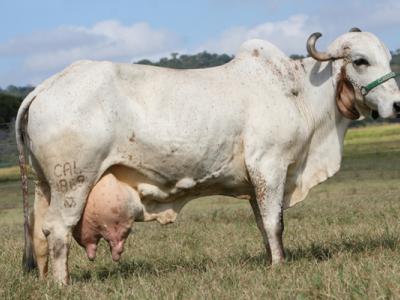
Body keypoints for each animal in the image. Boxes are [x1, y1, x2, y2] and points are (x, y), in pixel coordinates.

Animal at [15, 29, 400, 284]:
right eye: (360, 61)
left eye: (387, 58)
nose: (396, 104)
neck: (298, 93)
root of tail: (46, 86)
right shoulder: (270, 167)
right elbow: (275, 222)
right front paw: (280, 266)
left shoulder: (256, 181)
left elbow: (263, 224)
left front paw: (270, 259)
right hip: (73, 183)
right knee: (58, 231)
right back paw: (63, 284)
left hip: (46, 186)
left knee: (41, 236)